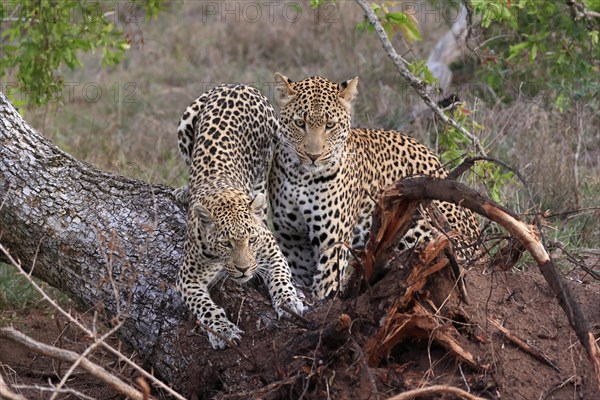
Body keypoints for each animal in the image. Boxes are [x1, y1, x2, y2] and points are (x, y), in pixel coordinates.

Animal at [173, 84, 304, 350]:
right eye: (226, 243)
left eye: (251, 240)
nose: (243, 270)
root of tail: (239, 86)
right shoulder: (187, 278)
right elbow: (205, 307)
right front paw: (222, 330)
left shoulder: (271, 249)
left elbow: (282, 276)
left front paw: (289, 301)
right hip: (185, 124)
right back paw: (184, 192)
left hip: (264, 166)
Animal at [270, 74, 480, 300]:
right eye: (300, 123)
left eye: (330, 125)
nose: (313, 156)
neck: (301, 177)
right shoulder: (292, 239)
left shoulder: (333, 243)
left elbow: (325, 289)